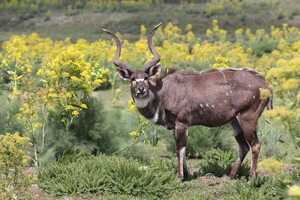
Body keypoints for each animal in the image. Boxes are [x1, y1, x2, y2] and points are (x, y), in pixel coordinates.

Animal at [102, 23, 272, 181]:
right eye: (132, 79)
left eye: (145, 77)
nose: (141, 90)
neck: (163, 92)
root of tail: (265, 84)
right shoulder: (175, 126)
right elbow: (181, 150)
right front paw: (187, 174)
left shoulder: (182, 122)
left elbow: (180, 149)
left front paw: (180, 177)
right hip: (234, 120)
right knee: (243, 146)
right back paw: (230, 176)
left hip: (248, 117)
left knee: (255, 144)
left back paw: (252, 178)